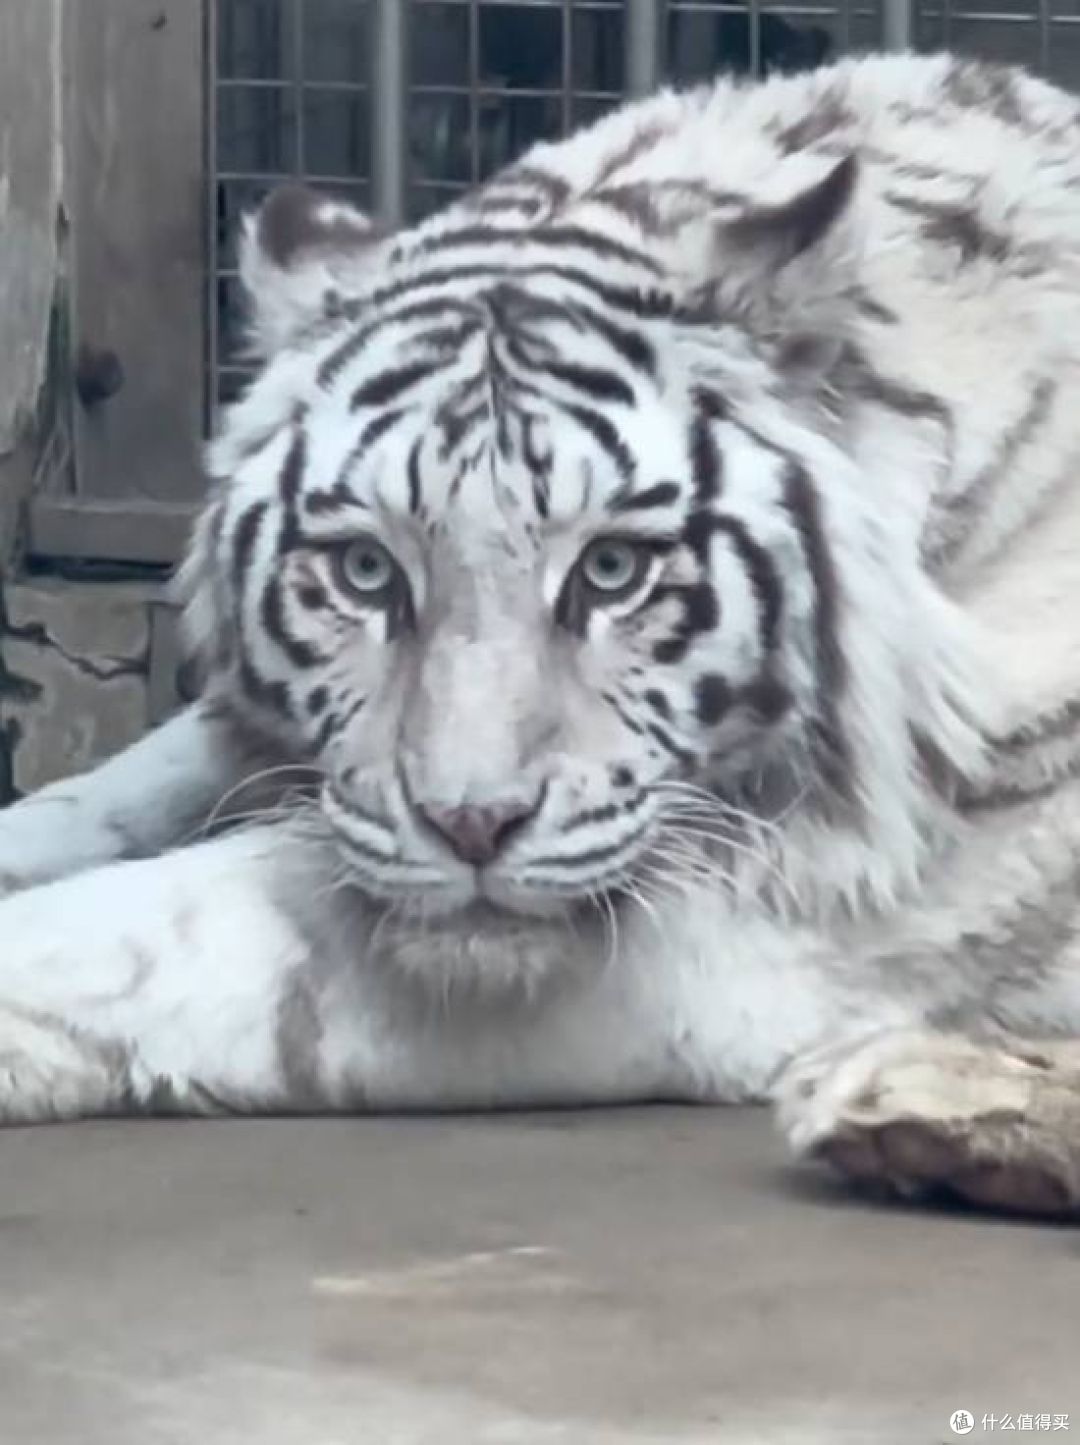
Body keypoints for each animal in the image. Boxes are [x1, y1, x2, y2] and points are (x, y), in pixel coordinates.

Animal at [1, 50, 1079, 1218]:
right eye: (365, 569)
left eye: (613, 569)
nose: (472, 825)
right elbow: (106, 796)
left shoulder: (774, 912)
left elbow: (145, 937)